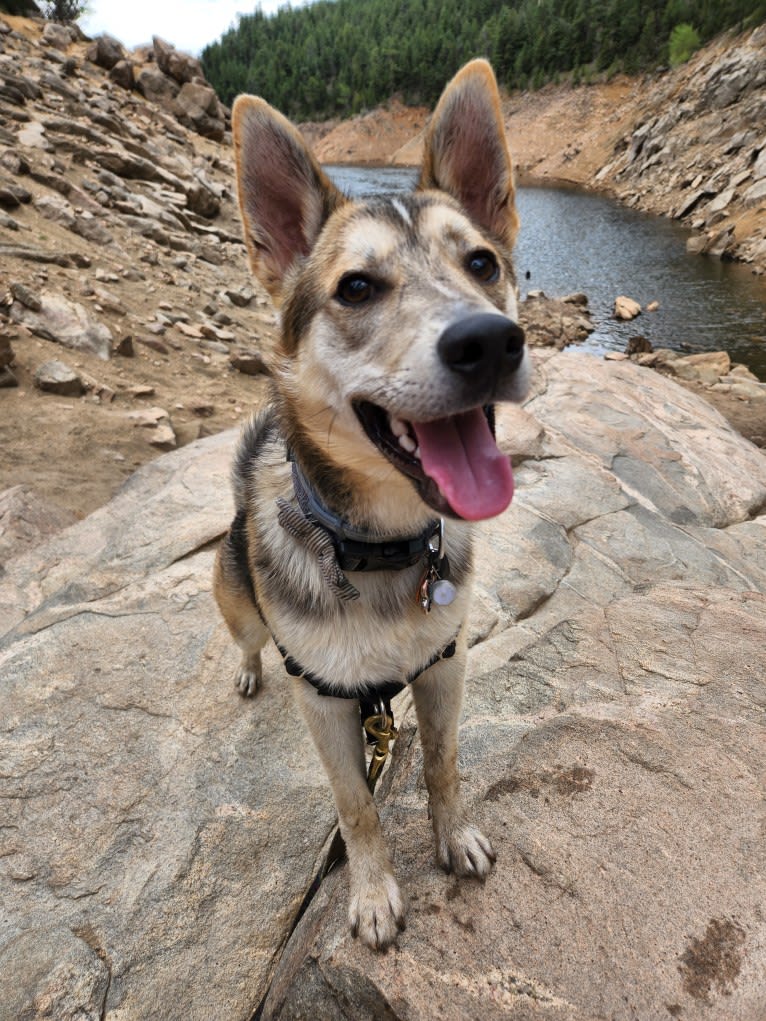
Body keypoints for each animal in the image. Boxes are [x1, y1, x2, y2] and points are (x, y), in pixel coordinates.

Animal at [213, 57, 531, 947]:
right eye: (355, 287)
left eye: (483, 264)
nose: (489, 342)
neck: (382, 545)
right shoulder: (324, 699)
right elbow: (356, 806)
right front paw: (375, 891)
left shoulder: (444, 663)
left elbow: (444, 764)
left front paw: (453, 836)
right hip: (238, 601)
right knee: (247, 639)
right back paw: (247, 669)